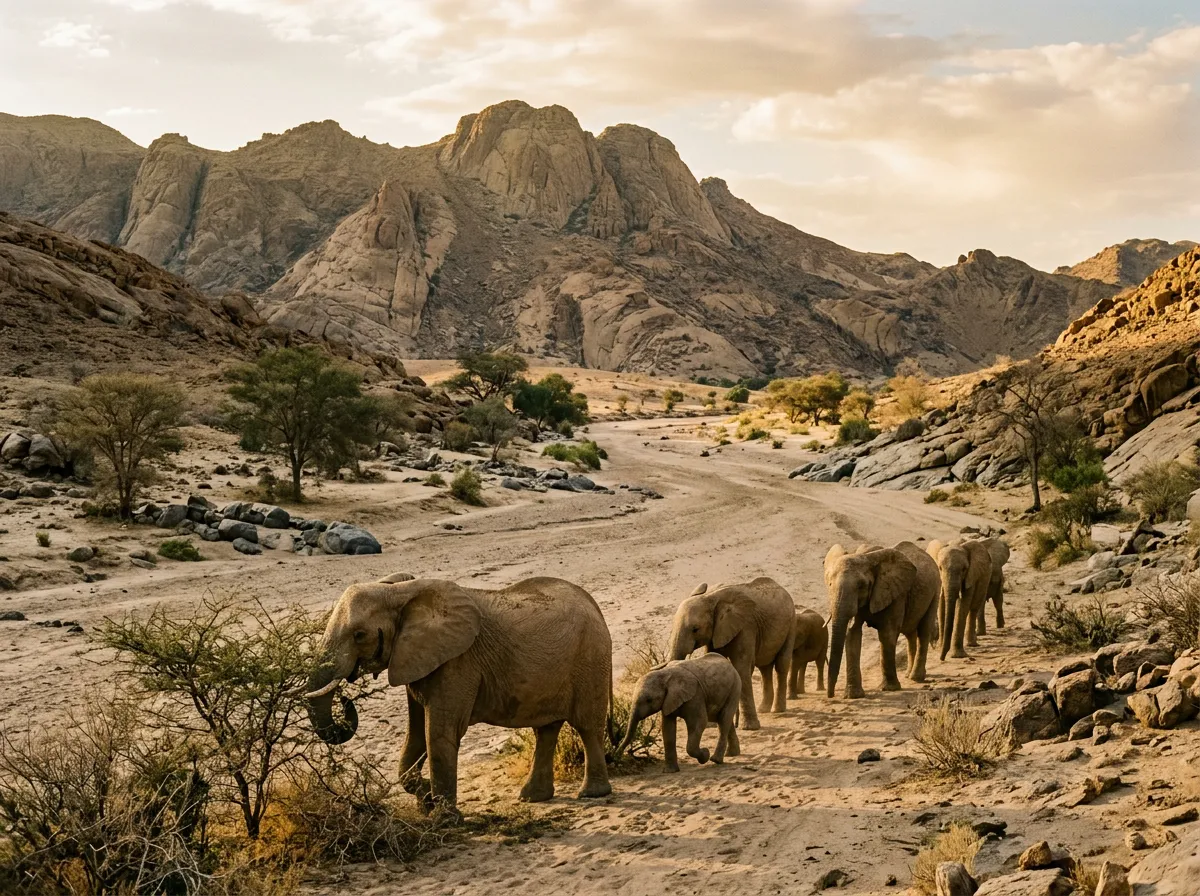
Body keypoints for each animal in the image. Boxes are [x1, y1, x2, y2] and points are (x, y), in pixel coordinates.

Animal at [305, 576, 613, 813]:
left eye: (359, 635)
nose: (345, 699)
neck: (400, 592)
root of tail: (594, 605)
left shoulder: (457, 662)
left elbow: (439, 733)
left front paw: (445, 818)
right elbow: (415, 734)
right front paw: (426, 800)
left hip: (590, 658)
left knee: (587, 726)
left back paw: (592, 794)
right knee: (546, 730)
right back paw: (532, 798)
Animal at [668, 577, 795, 730]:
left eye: (695, 629)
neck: (711, 597)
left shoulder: (746, 627)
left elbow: (741, 668)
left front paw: (748, 728)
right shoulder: (717, 632)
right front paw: (712, 724)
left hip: (791, 623)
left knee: (781, 663)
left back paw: (777, 710)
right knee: (764, 667)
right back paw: (763, 709)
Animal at [823, 543, 937, 698]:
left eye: (861, 586)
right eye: (829, 584)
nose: (831, 694)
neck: (865, 556)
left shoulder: (895, 594)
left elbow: (887, 634)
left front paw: (890, 689)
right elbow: (852, 634)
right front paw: (854, 696)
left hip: (936, 590)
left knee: (924, 631)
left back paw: (916, 678)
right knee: (910, 633)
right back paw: (908, 675)